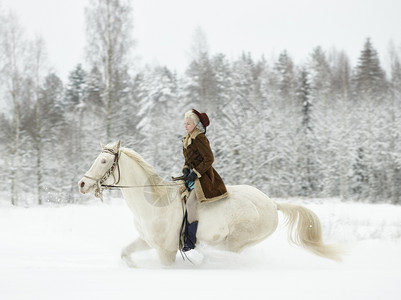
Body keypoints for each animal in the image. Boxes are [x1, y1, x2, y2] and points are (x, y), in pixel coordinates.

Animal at [77, 141, 340, 268]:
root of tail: (272, 204)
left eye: (103, 161)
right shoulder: (147, 241)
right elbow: (125, 253)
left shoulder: (167, 251)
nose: (82, 184)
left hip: (235, 242)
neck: (155, 203)